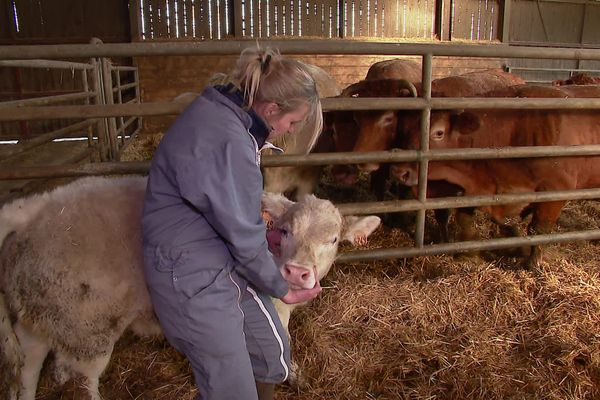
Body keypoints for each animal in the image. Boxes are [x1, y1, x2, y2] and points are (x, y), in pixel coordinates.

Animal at [0, 177, 380, 400]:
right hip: (88, 328)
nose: (298, 272)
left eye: (333, 239)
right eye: (285, 230)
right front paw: (294, 374)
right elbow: (280, 346)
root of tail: (35, 208)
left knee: (28, 367)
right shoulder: (272, 309)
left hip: (41, 314)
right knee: (82, 381)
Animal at [392, 83, 600, 268]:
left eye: (439, 133)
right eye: (404, 128)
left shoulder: (554, 191)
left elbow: (539, 229)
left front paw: (533, 263)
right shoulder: (474, 188)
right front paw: (469, 255)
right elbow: (465, 219)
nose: (400, 171)